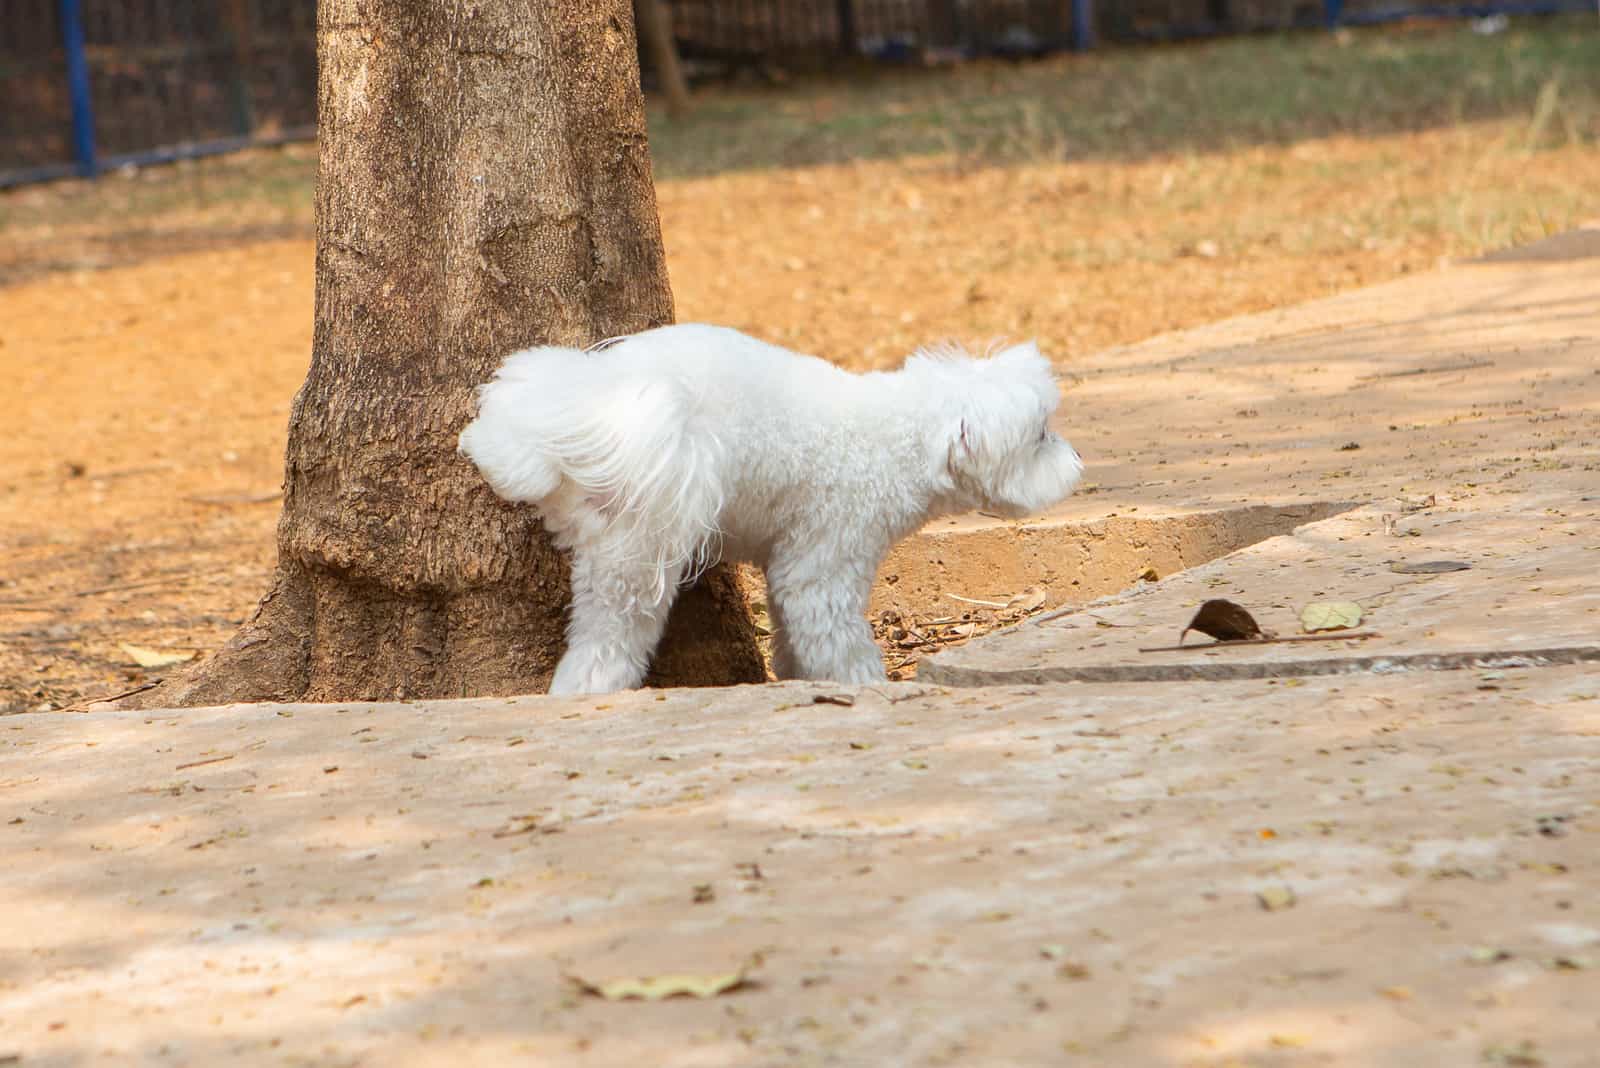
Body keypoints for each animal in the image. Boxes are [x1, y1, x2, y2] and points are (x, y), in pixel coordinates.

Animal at [464, 321, 1088, 697]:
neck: (900, 439)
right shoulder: (827, 563)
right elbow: (837, 640)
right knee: (609, 637)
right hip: (637, 552)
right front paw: (863, 685)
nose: (1079, 460)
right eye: (1040, 436)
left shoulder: (792, 562)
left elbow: (792, 636)